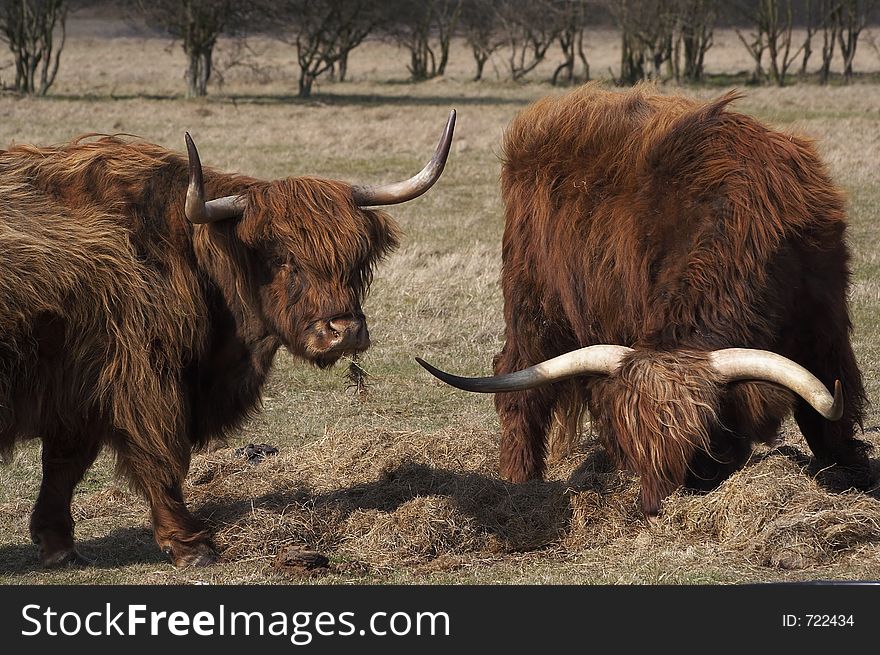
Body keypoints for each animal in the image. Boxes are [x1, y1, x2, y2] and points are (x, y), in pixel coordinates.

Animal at [3, 110, 458, 568]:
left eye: (356, 258)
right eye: (281, 258)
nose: (344, 332)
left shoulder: (77, 388)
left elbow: (64, 464)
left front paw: (57, 544)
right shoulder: (141, 377)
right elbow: (158, 457)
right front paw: (190, 545)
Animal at [420, 83, 872, 516]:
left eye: (703, 446)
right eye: (638, 448)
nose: (653, 509)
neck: (746, 226)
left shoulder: (825, 329)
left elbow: (830, 420)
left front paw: (852, 480)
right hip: (532, 301)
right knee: (519, 382)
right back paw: (519, 482)